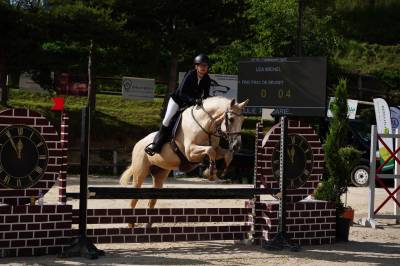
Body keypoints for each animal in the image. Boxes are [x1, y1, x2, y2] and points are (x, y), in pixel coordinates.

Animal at [119, 96, 250, 221]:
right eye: (231, 119)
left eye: (243, 121)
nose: (237, 146)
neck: (206, 125)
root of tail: (138, 143)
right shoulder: (190, 152)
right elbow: (210, 151)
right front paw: (211, 173)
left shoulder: (216, 149)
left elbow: (226, 154)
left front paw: (222, 171)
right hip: (140, 173)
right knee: (133, 201)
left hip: (160, 173)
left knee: (151, 201)